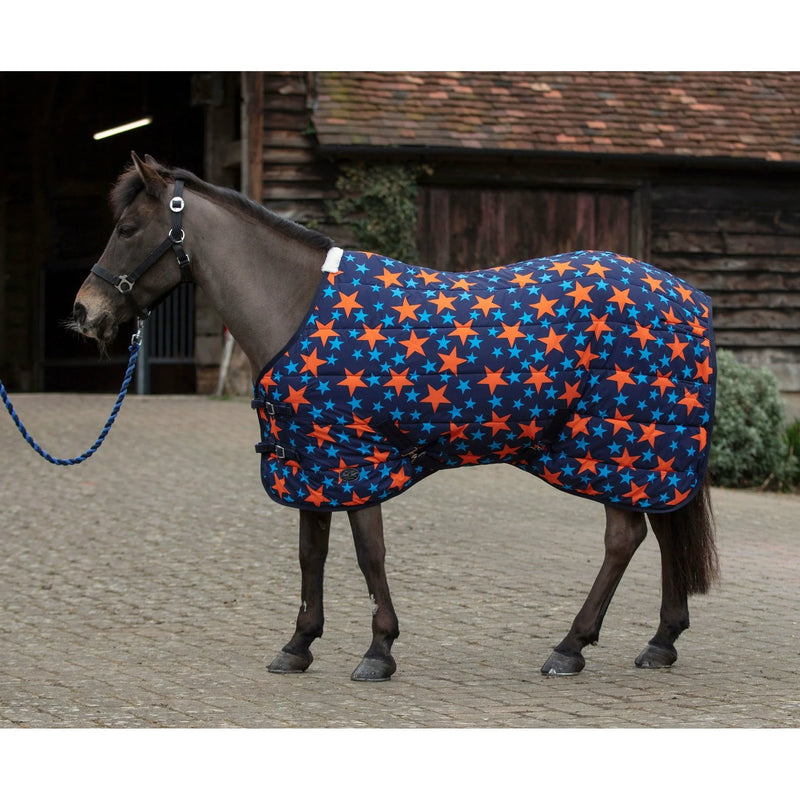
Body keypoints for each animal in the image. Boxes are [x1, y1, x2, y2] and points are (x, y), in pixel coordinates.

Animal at [71, 153, 719, 682]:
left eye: (127, 229)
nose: (84, 312)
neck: (297, 307)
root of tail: (685, 295)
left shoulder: (358, 458)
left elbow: (368, 552)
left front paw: (378, 650)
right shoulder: (312, 459)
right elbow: (311, 553)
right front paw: (298, 645)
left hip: (618, 445)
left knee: (624, 538)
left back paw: (570, 647)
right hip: (646, 452)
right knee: (662, 529)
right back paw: (660, 641)